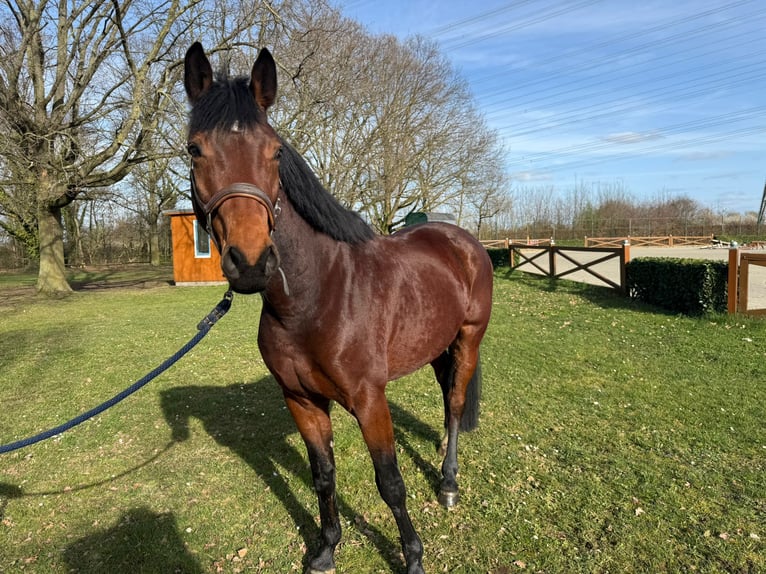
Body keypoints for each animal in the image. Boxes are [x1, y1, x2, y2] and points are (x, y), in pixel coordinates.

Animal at [183, 42, 493, 574]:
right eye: (194, 149)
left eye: (275, 152)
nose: (251, 262)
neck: (315, 300)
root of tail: (462, 239)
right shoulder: (301, 400)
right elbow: (323, 475)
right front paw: (327, 548)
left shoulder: (370, 401)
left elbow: (390, 483)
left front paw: (413, 557)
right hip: (438, 345)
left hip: (469, 339)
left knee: (454, 406)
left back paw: (449, 482)